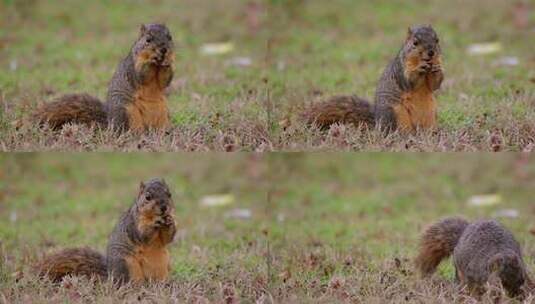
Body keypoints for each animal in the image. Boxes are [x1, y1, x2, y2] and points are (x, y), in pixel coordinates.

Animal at [33, 23, 175, 133]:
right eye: (148, 40)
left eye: (170, 37)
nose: (163, 49)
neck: (157, 66)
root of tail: (110, 122)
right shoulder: (132, 67)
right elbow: (141, 75)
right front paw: (152, 60)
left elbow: (165, 81)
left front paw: (168, 62)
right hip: (126, 111)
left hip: (163, 112)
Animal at [36, 177, 178, 284]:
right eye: (148, 197)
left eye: (169, 194)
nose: (164, 207)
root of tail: (111, 276)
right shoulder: (132, 224)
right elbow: (143, 235)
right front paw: (155, 223)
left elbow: (167, 238)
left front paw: (171, 222)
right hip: (127, 265)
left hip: (162, 263)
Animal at [306, 25, 444, 134]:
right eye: (415, 43)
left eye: (437, 40)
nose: (431, 52)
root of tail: (377, 123)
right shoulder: (400, 69)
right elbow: (409, 82)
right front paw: (419, 68)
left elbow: (434, 85)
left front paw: (438, 69)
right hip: (395, 114)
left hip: (430, 113)